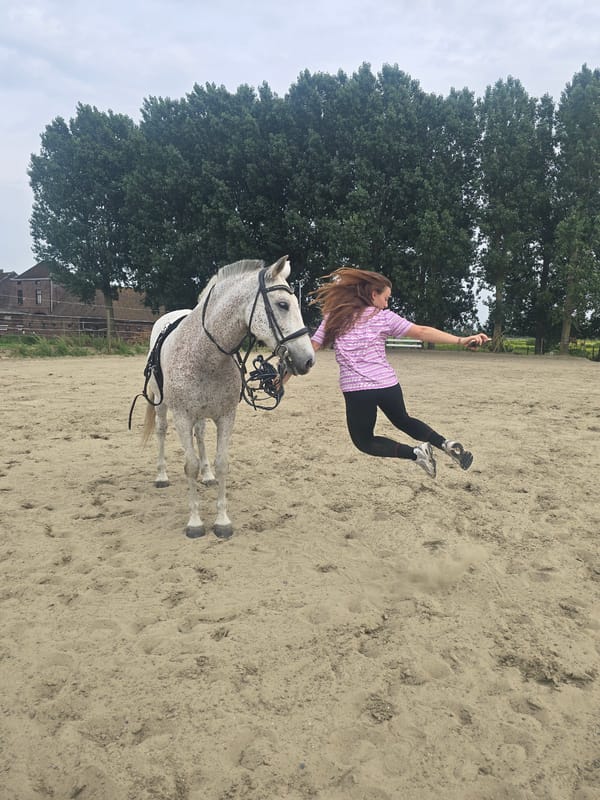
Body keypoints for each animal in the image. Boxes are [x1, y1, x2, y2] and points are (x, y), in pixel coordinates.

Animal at [138, 256, 315, 540]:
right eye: (283, 304)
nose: (308, 359)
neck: (204, 355)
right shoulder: (182, 417)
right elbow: (189, 465)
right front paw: (195, 523)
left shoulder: (225, 417)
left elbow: (222, 464)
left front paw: (222, 520)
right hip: (163, 406)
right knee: (161, 432)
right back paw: (161, 476)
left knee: (200, 436)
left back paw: (207, 475)